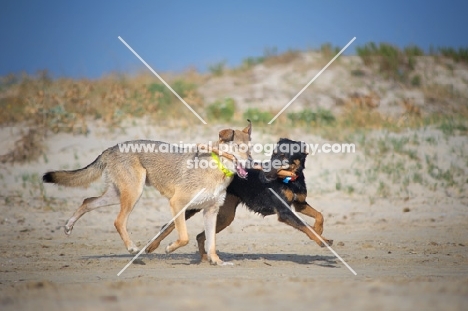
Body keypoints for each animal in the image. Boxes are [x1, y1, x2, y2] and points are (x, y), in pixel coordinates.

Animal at [43, 122, 252, 266]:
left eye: (250, 149)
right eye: (238, 148)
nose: (251, 161)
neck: (216, 167)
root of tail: (111, 148)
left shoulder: (211, 212)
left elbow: (211, 242)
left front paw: (216, 261)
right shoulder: (177, 203)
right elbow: (184, 237)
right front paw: (169, 247)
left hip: (117, 195)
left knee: (87, 201)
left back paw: (69, 226)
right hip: (133, 193)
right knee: (118, 221)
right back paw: (132, 248)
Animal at [146, 138, 332, 260]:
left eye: (284, 157)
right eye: (273, 155)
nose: (266, 172)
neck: (290, 180)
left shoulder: (299, 204)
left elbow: (319, 216)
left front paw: (320, 231)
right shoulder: (284, 212)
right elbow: (306, 226)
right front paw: (321, 240)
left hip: (226, 216)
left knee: (200, 235)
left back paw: (206, 258)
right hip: (195, 205)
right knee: (167, 226)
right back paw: (152, 246)